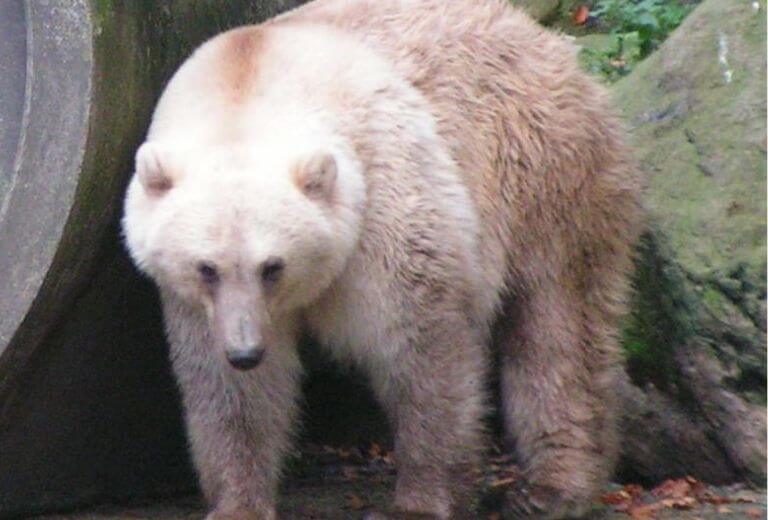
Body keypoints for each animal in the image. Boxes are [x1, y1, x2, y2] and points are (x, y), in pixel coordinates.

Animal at [122, 0, 642, 518]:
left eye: (273, 266)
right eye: (206, 268)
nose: (245, 351)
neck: (249, 85)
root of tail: (545, 39)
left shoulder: (383, 197)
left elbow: (420, 347)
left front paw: (421, 501)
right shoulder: (194, 302)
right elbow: (229, 390)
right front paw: (238, 503)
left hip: (543, 167)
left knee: (557, 322)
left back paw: (554, 487)